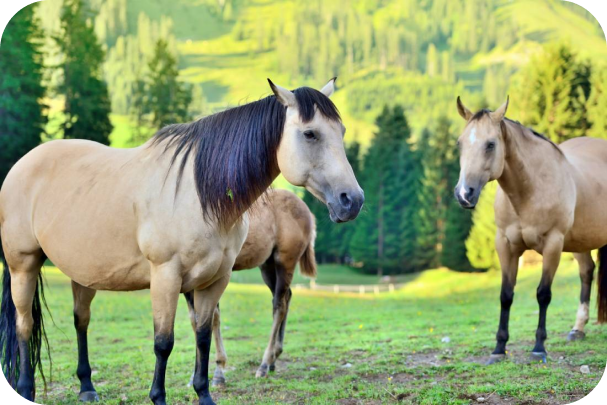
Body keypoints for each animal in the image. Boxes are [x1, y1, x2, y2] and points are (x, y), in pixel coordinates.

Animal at [185, 188, 318, 386]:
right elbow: (196, 320)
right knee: (285, 297)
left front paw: (218, 374)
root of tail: (307, 211)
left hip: (285, 262)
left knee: (279, 305)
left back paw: (264, 365)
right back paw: (274, 358)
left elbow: (212, 317)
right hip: (267, 265)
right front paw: (194, 377)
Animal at [456, 97, 607, 362]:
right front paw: (499, 349)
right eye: (460, 143)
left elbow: (543, 294)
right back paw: (577, 329)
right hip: (580, 241)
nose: (464, 194)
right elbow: (506, 295)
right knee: (587, 272)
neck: (531, 190)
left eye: (490, 144)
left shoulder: (553, 244)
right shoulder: (505, 245)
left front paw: (538, 348)